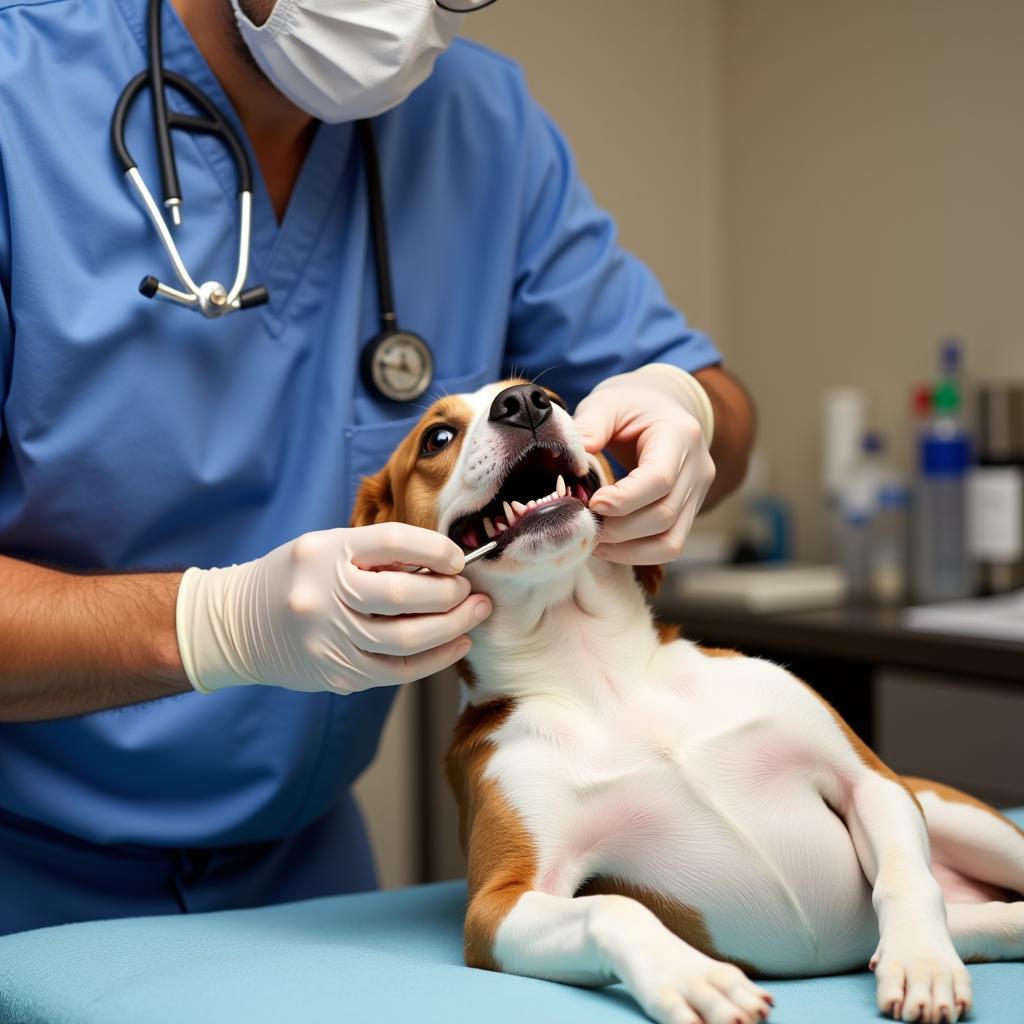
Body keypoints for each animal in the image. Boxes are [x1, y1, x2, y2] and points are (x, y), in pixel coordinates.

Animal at [354, 380, 1024, 1024]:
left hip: (958, 816)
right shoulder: (500, 905)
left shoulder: (871, 781)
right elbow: (612, 911)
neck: (601, 676)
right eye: (438, 437)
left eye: (561, 399)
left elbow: (907, 879)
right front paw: (692, 977)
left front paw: (921, 961)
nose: (523, 404)